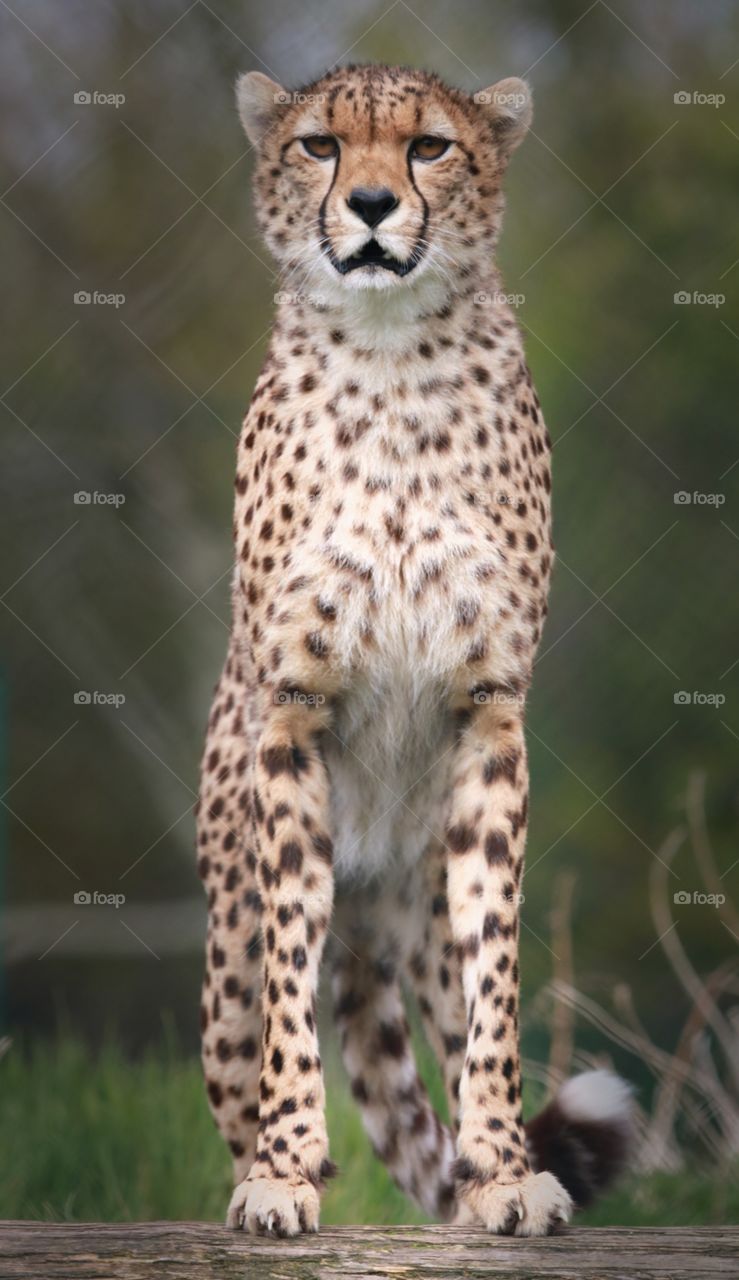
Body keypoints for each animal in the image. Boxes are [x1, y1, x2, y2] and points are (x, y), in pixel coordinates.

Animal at [195, 62, 633, 1239]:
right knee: (244, 1039)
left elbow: (498, 990)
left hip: (423, 906)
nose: (372, 204)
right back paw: (255, 1165)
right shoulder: (291, 711)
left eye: (429, 146)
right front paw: (285, 1170)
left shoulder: (487, 710)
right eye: (319, 145)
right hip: (225, 944)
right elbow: (288, 997)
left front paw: (502, 1169)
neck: (390, 358)